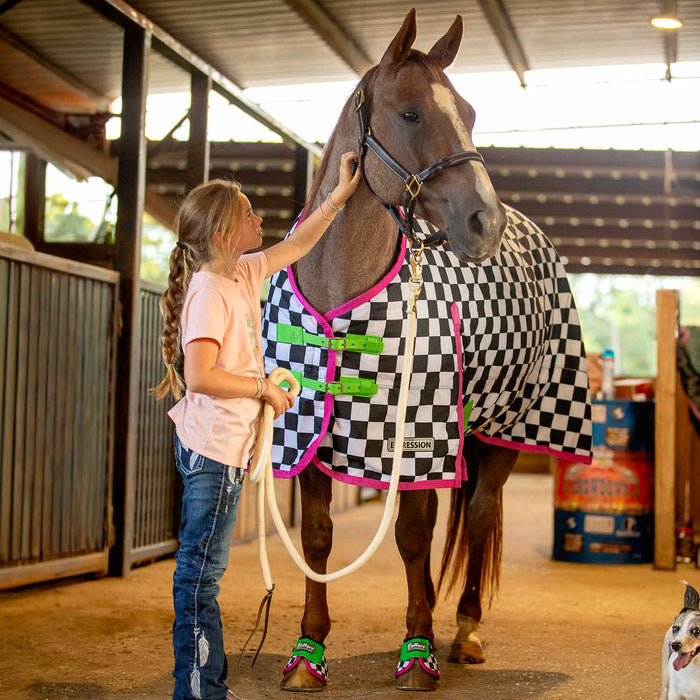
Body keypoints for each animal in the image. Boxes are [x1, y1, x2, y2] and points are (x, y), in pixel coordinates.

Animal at [262, 6, 592, 696]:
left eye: (469, 111)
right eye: (411, 113)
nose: (483, 221)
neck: (341, 292)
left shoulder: (415, 437)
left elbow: (415, 536)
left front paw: (416, 653)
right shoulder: (307, 434)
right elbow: (317, 536)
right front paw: (308, 653)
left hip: (505, 429)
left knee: (482, 514)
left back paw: (461, 630)